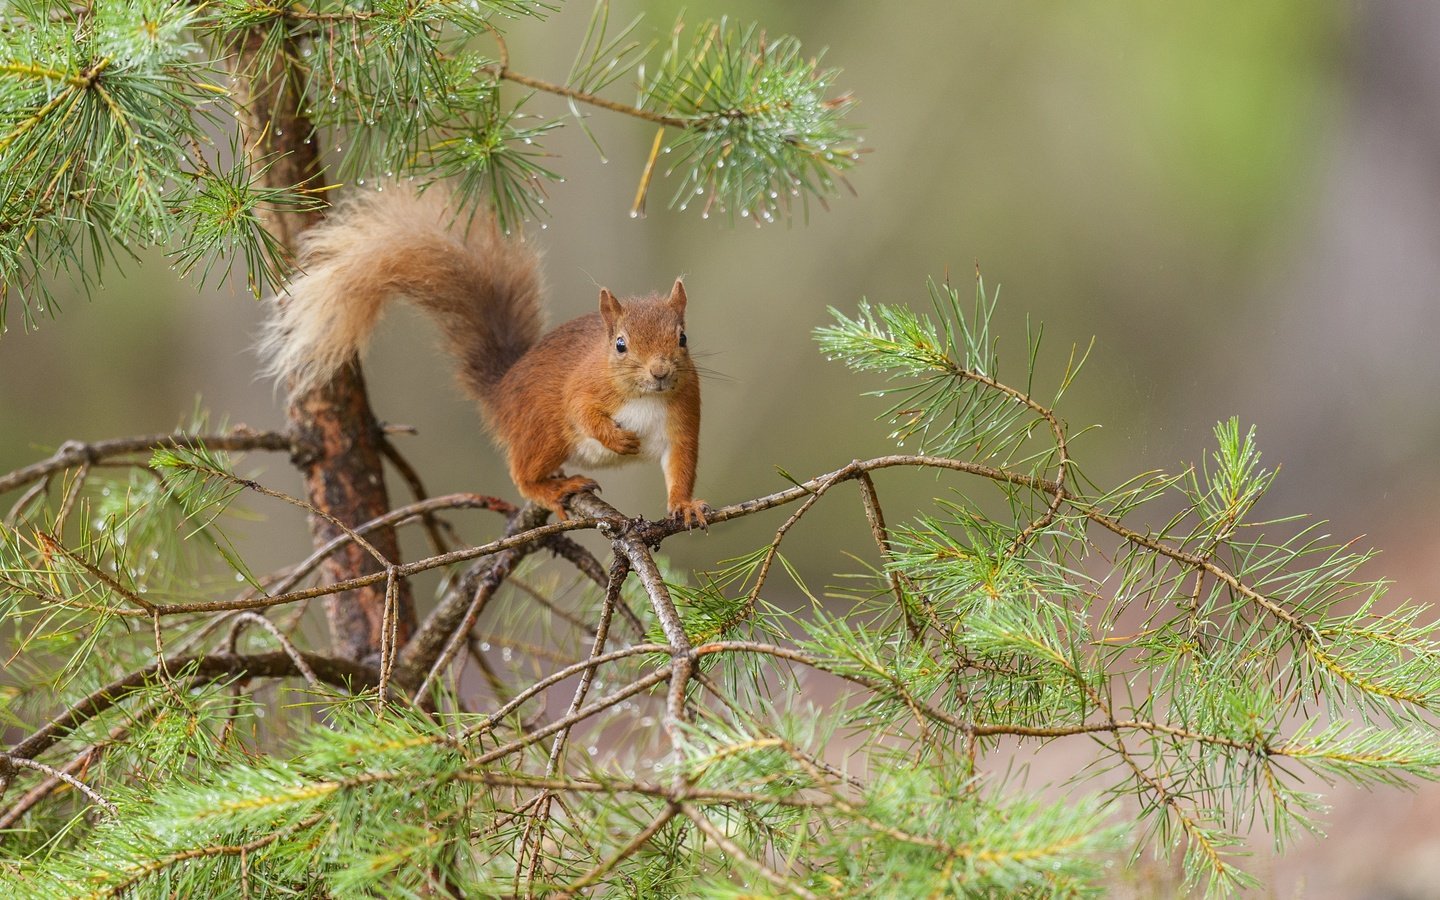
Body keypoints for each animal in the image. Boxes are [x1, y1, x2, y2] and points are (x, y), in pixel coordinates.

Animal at [262, 187, 711, 527]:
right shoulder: (584, 384)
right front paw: (616, 438)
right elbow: (581, 410)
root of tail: (502, 388)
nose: (660, 372)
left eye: (683, 338)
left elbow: (681, 464)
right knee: (523, 474)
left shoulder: (683, 414)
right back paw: (552, 489)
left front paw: (685, 506)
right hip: (543, 430)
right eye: (620, 344)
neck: (644, 396)